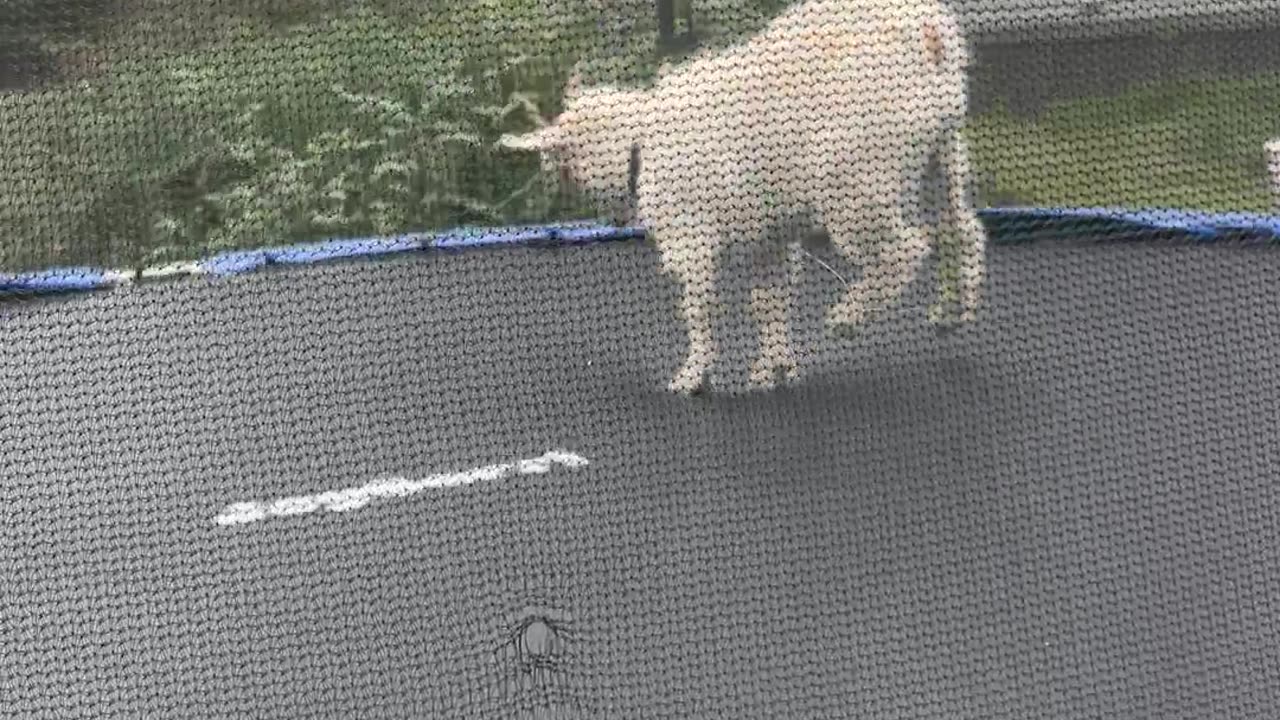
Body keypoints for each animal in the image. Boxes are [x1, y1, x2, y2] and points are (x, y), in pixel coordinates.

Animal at [504, 0, 983, 392]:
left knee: (907, 248)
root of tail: (930, 36)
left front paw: (694, 374)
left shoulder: (691, 236)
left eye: (563, 167)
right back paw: (954, 310)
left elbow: (699, 306)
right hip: (940, 158)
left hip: (852, 180)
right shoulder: (769, 236)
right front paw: (774, 367)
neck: (642, 138)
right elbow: (767, 302)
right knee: (963, 230)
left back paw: (849, 316)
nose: (617, 221)